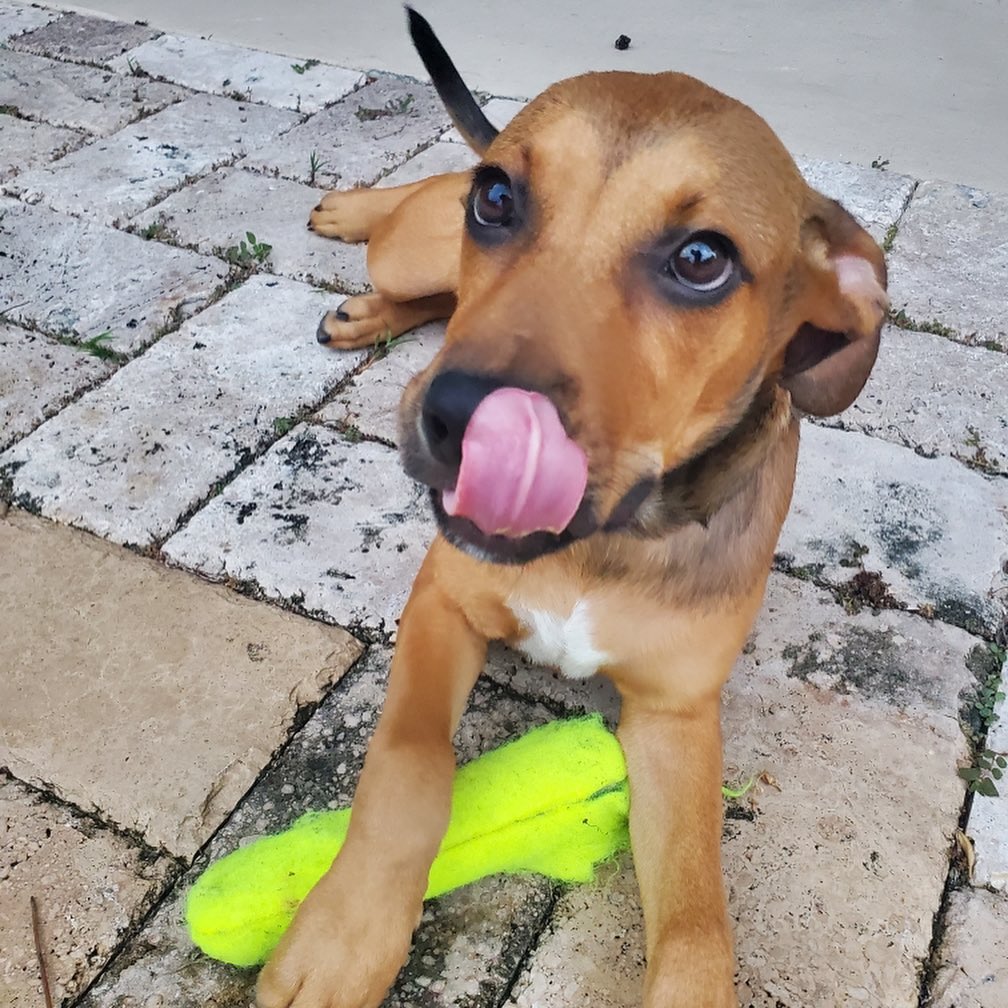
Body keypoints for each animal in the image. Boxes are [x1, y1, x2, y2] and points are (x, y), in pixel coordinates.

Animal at [256, 9, 887, 1008]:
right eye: (500, 200)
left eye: (702, 260)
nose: (458, 423)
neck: (604, 546)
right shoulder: (441, 603)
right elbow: (409, 768)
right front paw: (342, 937)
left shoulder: (675, 717)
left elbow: (700, 924)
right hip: (420, 240)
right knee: (419, 226)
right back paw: (356, 213)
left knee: (433, 298)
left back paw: (369, 310)